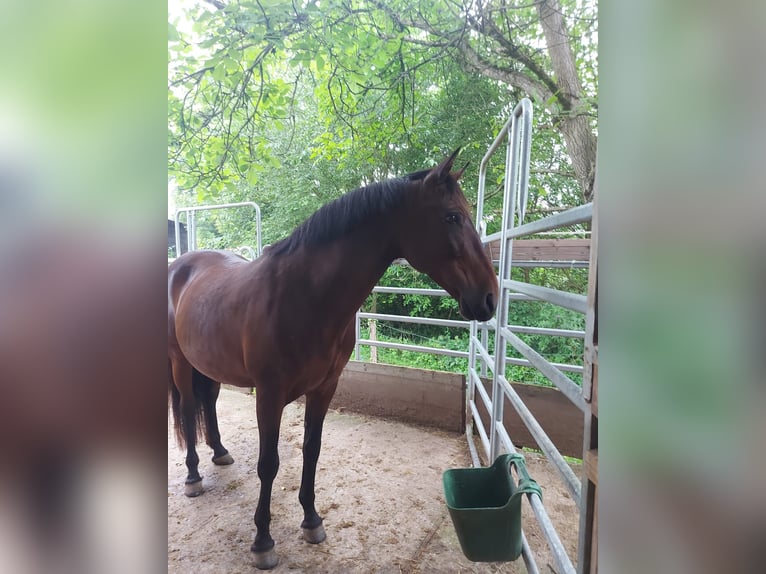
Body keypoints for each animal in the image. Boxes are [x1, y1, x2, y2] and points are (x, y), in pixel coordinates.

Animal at [167, 149, 498, 569]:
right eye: (452, 217)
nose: (489, 297)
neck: (304, 295)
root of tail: (179, 264)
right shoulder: (269, 394)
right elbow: (269, 463)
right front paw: (262, 541)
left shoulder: (325, 388)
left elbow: (312, 450)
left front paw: (311, 520)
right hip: (180, 362)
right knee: (188, 406)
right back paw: (193, 476)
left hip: (208, 364)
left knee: (207, 402)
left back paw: (221, 453)